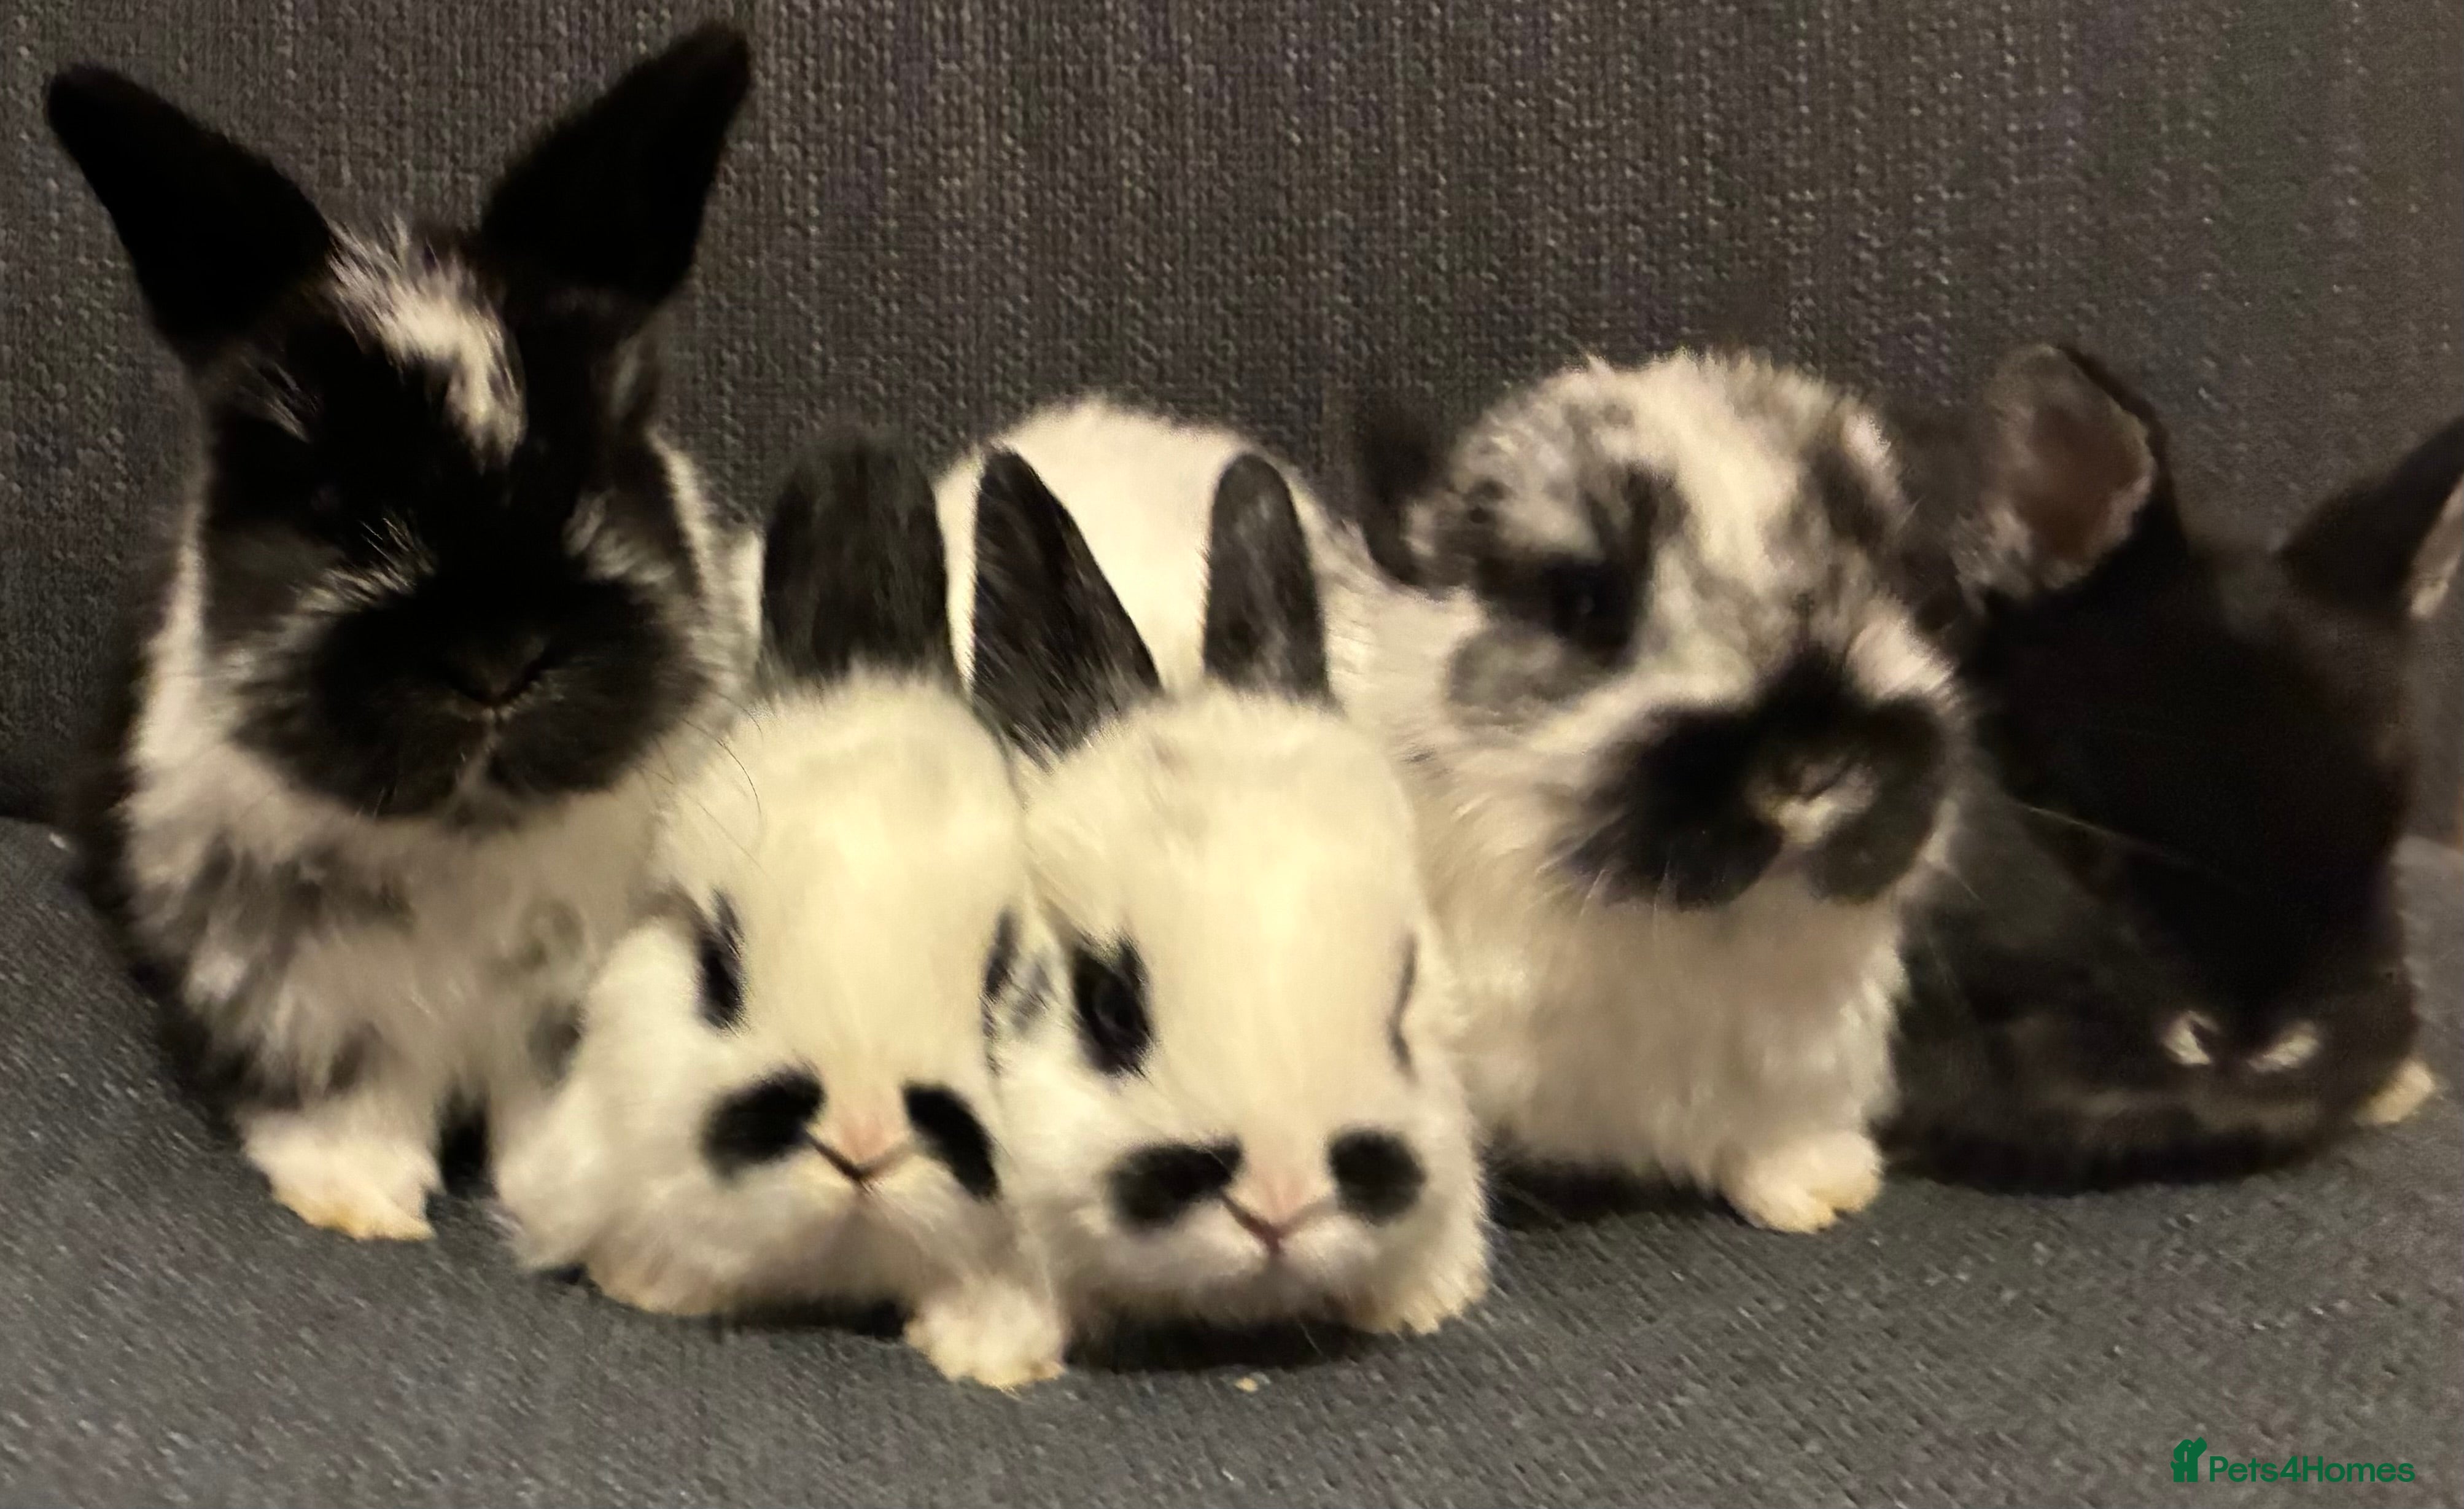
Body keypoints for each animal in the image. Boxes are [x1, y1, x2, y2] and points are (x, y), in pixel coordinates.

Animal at [49, 25, 761, 1240]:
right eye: (330, 504)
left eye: (593, 471)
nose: (495, 663)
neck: (461, 839)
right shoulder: (291, 982)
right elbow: (345, 1090)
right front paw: (358, 1202)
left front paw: (560, 1191)